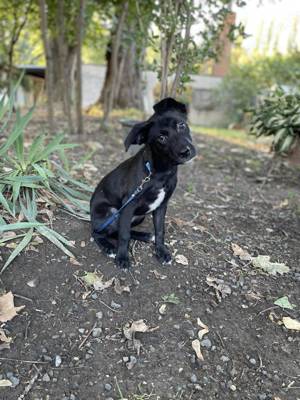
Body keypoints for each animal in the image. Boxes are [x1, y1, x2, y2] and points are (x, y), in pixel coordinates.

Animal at [90, 96, 196, 268]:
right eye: (161, 138)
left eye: (181, 125)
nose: (185, 152)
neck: (160, 172)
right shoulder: (129, 205)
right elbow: (124, 235)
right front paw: (122, 257)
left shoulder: (161, 206)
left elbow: (160, 231)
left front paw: (161, 251)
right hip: (111, 212)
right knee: (98, 232)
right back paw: (109, 247)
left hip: (139, 216)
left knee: (117, 231)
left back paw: (144, 236)